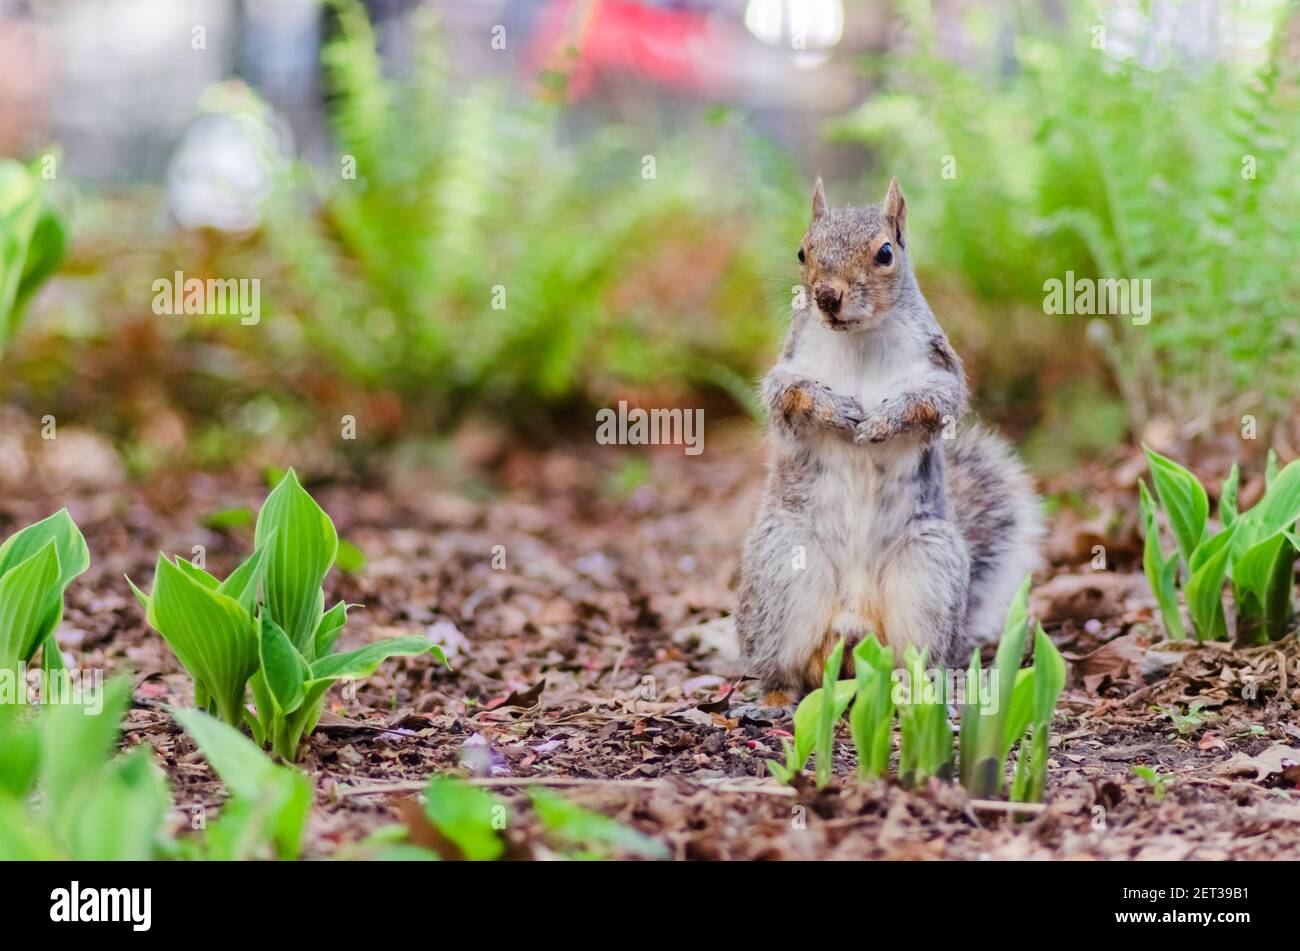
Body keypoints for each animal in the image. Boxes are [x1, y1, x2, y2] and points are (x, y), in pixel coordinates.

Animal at [738, 180, 1040, 696]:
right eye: (802, 251)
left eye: (885, 253)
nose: (827, 296)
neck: (859, 338)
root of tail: (855, 621)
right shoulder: (788, 366)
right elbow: (787, 394)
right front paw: (833, 408)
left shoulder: (940, 368)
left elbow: (935, 400)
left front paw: (884, 421)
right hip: (782, 563)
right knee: (787, 664)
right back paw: (779, 689)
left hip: (929, 568)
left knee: (912, 653)